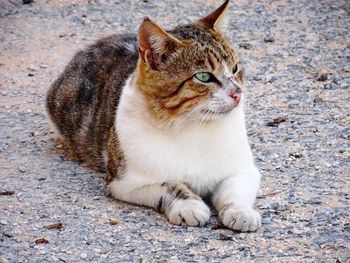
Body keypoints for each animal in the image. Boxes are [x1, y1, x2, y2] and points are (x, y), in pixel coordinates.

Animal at [46, 0, 262, 232]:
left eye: (235, 68)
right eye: (204, 77)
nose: (237, 92)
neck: (194, 126)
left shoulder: (244, 170)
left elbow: (234, 191)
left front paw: (240, 211)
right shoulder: (124, 183)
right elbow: (169, 185)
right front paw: (189, 205)